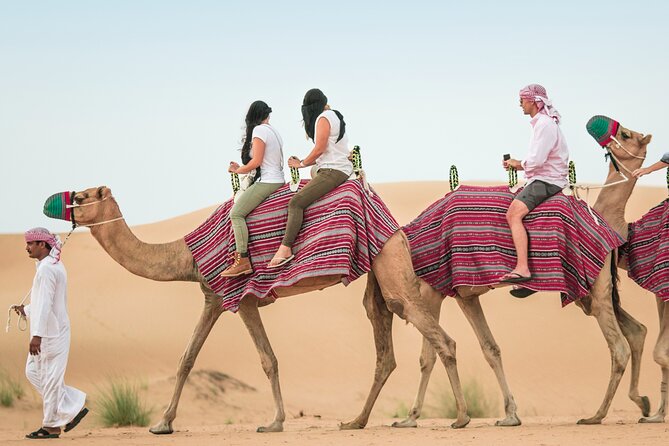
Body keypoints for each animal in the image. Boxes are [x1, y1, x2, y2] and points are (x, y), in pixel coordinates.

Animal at [61, 186, 472, 434]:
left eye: (82, 196)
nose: (63, 204)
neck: (186, 255)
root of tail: (395, 225)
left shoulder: (241, 298)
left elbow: (267, 359)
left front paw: (274, 422)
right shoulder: (213, 298)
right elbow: (187, 358)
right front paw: (163, 423)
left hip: (390, 263)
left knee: (441, 338)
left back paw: (461, 418)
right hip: (379, 270)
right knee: (384, 343)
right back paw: (355, 421)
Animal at [374, 122, 654, 429]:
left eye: (625, 135)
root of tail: (608, 232)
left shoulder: (432, 289)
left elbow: (428, 355)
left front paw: (414, 418)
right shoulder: (465, 294)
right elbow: (490, 348)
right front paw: (510, 414)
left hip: (594, 288)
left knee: (619, 347)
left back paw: (597, 415)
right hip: (596, 292)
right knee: (636, 331)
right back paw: (641, 403)